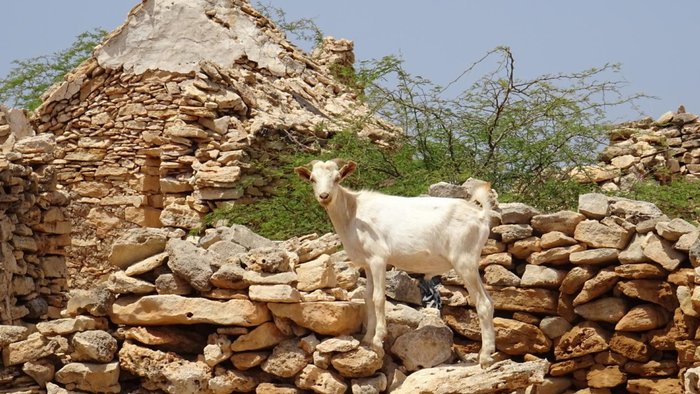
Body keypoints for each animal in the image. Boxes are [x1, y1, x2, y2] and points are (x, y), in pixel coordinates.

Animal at [296, 159, 498, 368]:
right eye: (312, 179)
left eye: (337, 178)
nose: (324, 196)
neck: (353, 213)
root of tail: (481, 215)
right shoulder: (367, 264)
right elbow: (367, 297)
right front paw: (367, 339)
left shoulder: (378, 259)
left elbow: (378, 298)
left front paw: (378, 341)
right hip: (471, 264)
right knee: (490, 301)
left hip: (464, 261)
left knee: (483, 304)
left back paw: (485, 357)